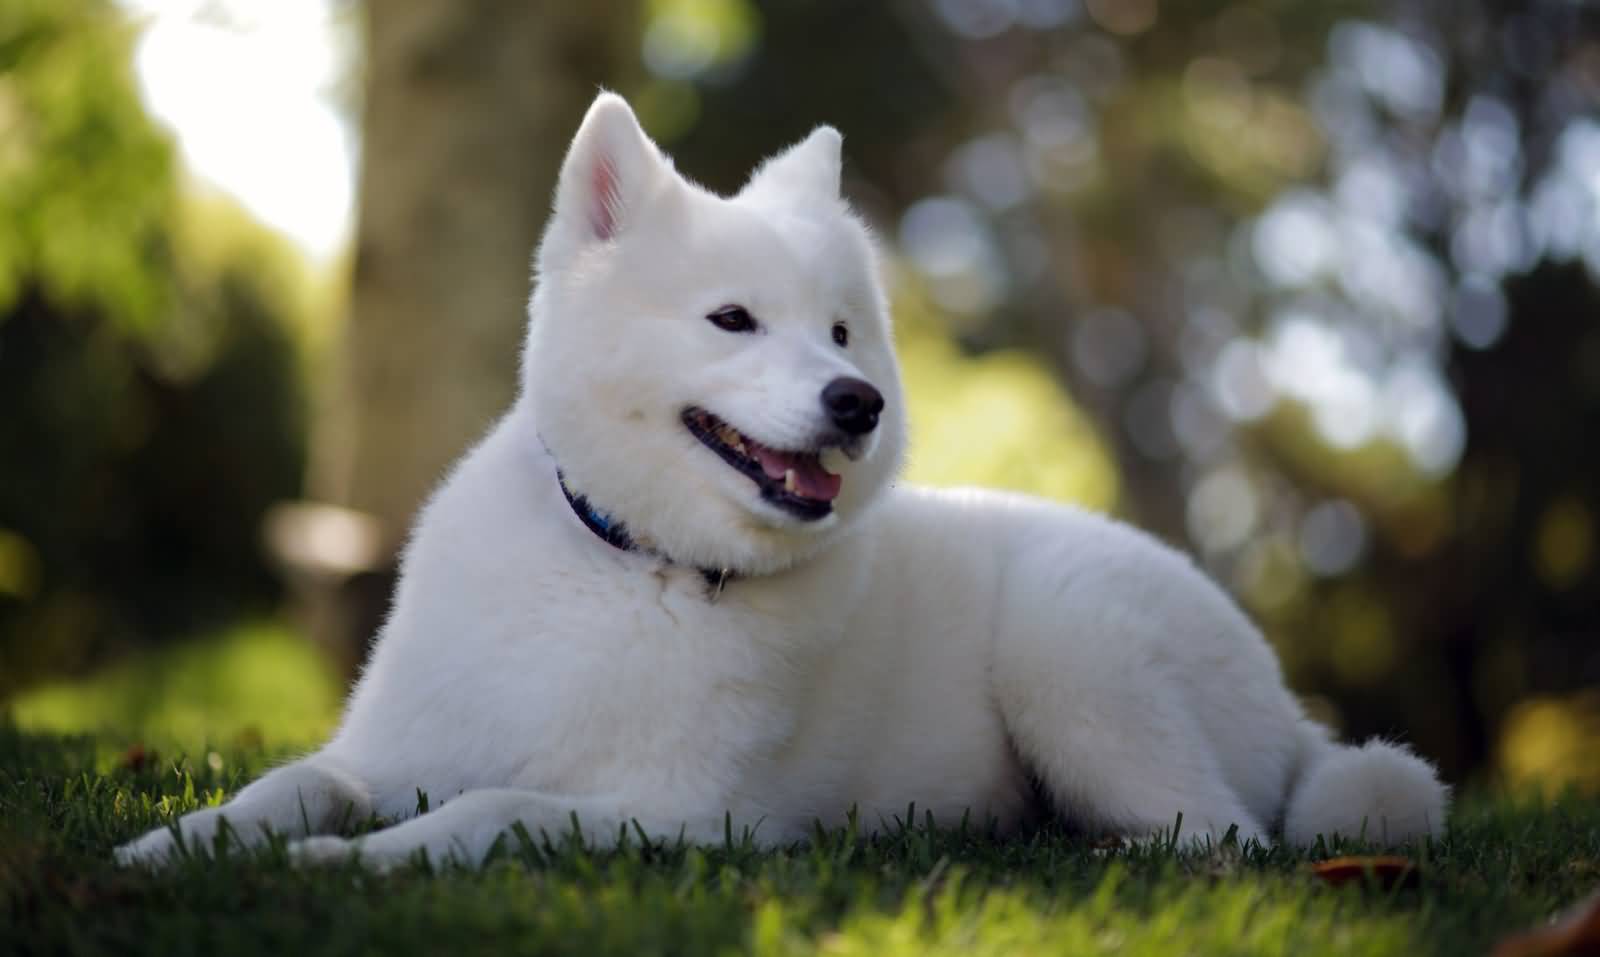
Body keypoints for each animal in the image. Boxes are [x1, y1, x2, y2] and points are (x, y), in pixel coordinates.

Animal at [118, 95, 1452, 870]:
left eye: (844, 334)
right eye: (733, 320)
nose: (857, 403)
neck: (633, 565)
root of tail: (1288, 709)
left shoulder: (685, 817)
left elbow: (490, 813)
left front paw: (336, 868)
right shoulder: (386, 753)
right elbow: (288, 785)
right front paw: (171, 849)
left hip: (1072, 656)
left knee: (1233, 839)